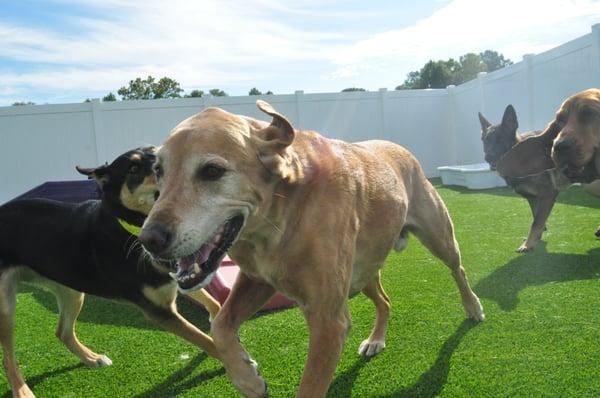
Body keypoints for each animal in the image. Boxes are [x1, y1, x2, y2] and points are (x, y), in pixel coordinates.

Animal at [0, 147, 220, 398]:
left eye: (156, 151)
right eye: (133, 169)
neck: (132, 228)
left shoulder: (177, 279)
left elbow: (215, 304)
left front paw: (218, 324)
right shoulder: (160, 312)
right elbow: (207, 342)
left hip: (72, 292)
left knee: (62, 332)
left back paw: (91, 358)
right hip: (6, 307)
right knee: (8, 357)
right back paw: (21, 390)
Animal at [138, 100, 486, 398]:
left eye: (212, 171)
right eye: (158, 171)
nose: (148, 240)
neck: (284, 217)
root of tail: (398, 147)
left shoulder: (327, 320)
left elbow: (310, 385)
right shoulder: (256, 280)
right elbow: (220, 324)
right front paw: (248, 378)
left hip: (438, 237)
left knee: (457, 268)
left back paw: (473, 306)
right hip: (361, 275)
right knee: (384, 300)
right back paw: (376, 340)